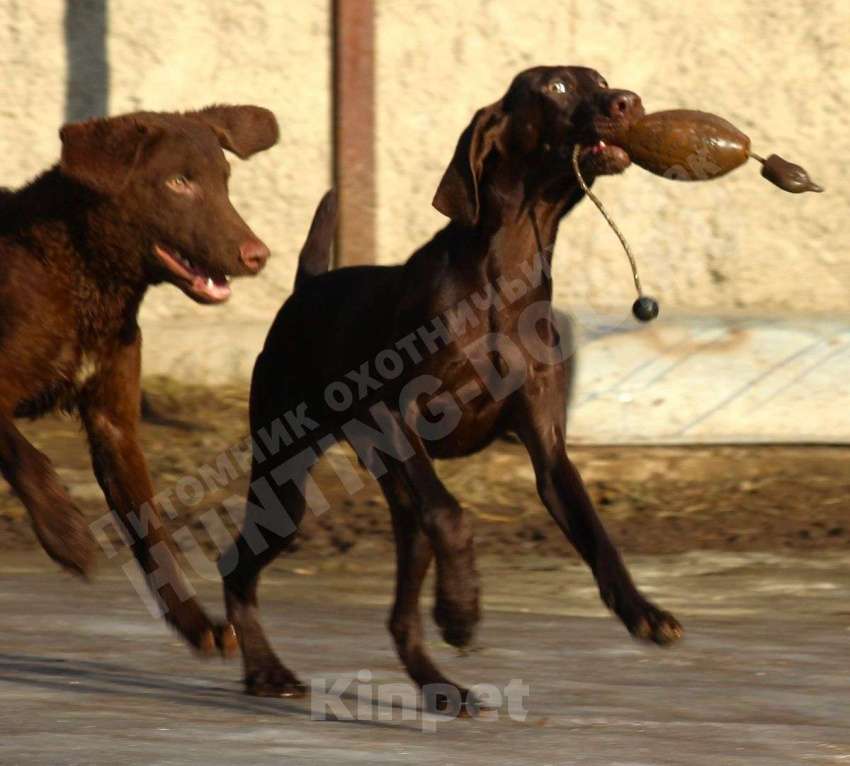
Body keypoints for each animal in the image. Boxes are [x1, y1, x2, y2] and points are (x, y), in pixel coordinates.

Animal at [0, 105, 278, 656]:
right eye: (177, 182)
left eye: (225, 182)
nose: (257, 255)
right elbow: (28, 456)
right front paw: (67, 535)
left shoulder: (115, 423)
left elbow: (152, 532)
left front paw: (195, 623)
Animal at [220, 69, 684, 712]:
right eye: (557, 87)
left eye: (602, 80)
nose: (629, 103)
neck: (503, 280)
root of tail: (304, 289)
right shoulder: (395, 418)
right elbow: (454, 513)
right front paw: (462, 609)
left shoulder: (548, 450)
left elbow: (596, 533)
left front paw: (644, 612)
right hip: (286, 479)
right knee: (235, 567)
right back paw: (266, 670)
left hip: (388, 494)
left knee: (398, 613)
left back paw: (439, 687)